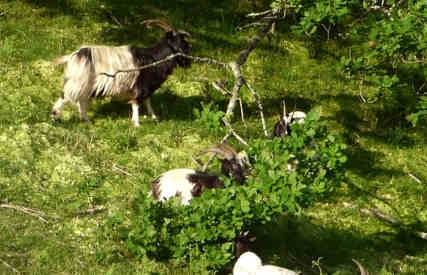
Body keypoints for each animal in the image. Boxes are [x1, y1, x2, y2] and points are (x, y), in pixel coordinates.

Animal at [51, 19, 191, 127]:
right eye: (181, 42)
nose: (189, 62)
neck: (153, 58)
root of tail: (74, 56)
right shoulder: (141, 86)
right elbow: (136, 103)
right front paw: (137, 124)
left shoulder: (147, 87)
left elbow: (148, 101)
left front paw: (154, 117)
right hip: (77, 83)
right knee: (65, 98)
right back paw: (54, 118)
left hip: (85, 86)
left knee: (81, 101)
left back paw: (87, 121)